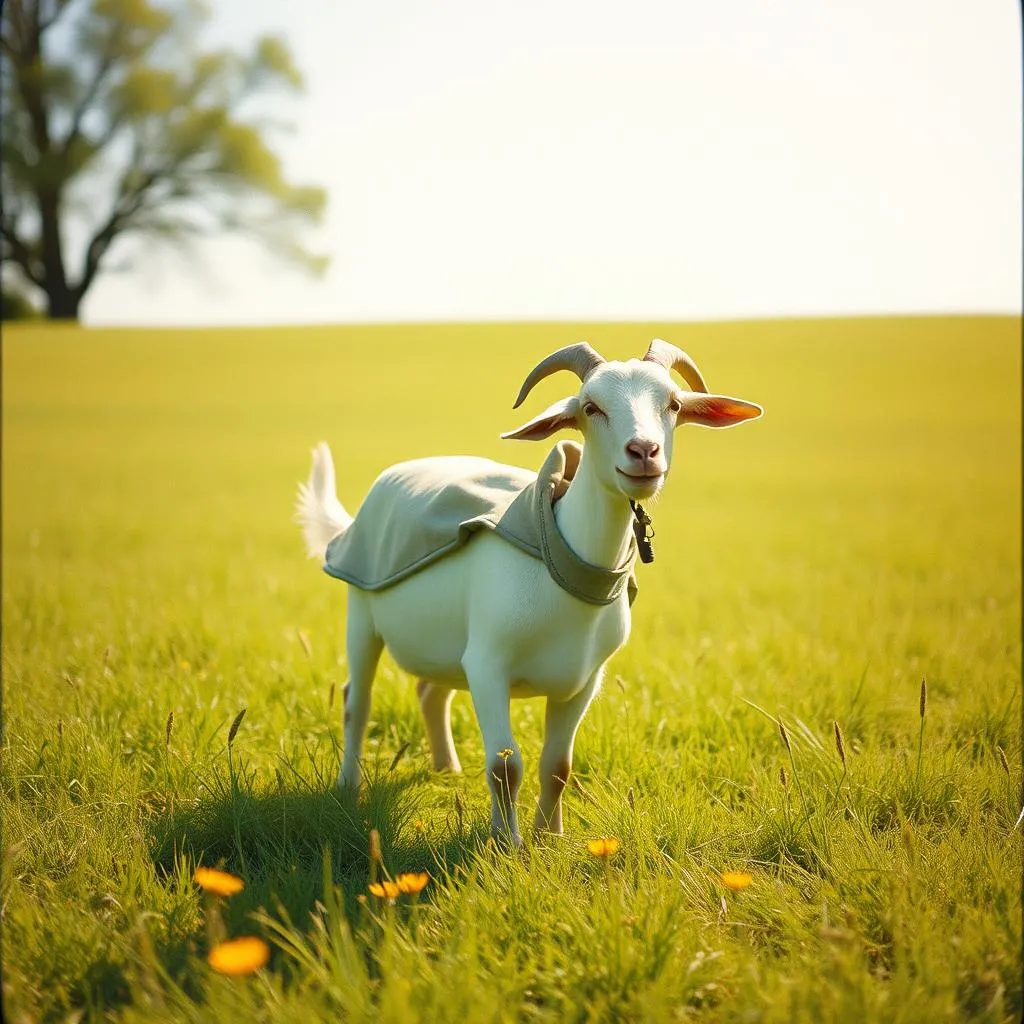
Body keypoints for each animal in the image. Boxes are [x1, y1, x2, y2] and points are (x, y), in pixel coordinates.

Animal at [296, 339, 762, 845]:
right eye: (590, 407)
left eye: (673, 404)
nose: (644, 451)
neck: (562, 565)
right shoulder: (487, 665)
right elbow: (506, 766)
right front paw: (507, 843)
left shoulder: (584, 679)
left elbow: (558, 765)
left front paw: (549, 837)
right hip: (361, 616)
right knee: (355, 702)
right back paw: (349, 787)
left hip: (445, 645)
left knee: (430, 692)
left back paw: (446, 769)